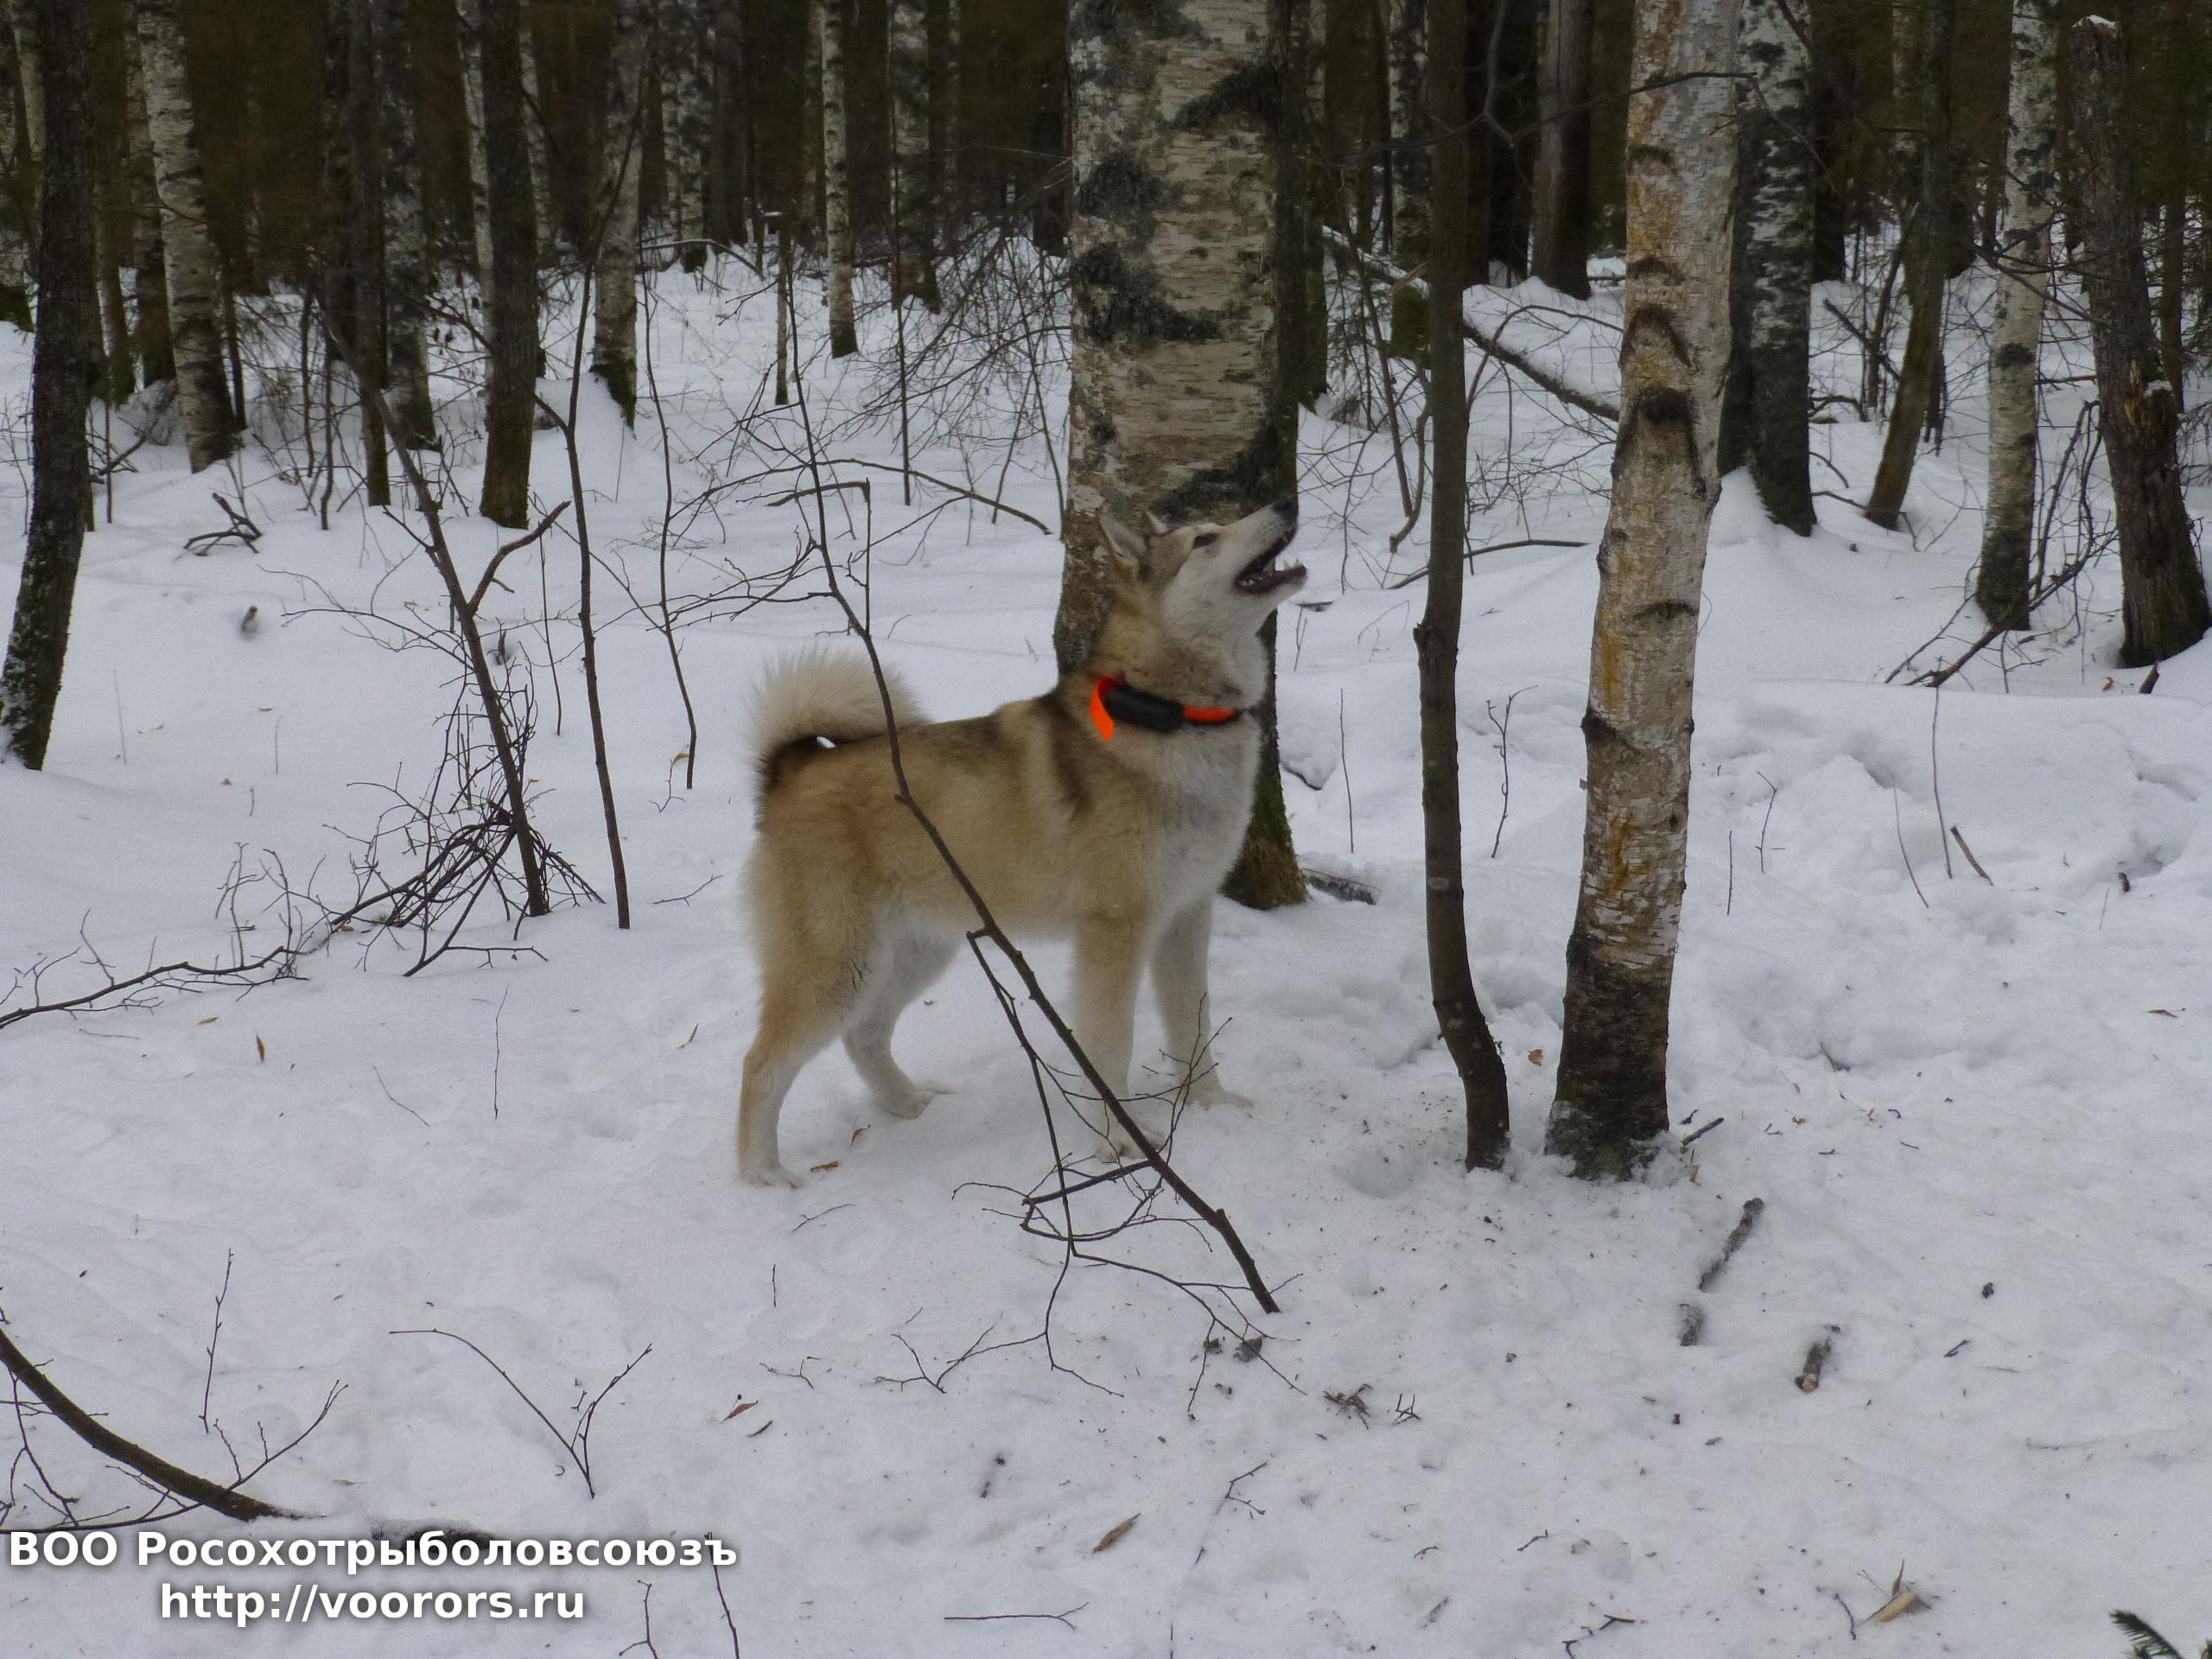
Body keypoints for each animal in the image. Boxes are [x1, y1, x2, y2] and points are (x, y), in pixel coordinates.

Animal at [735, 497, 1307, 1187]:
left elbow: (1192, 1028)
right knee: (762, 1064)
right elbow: (1110, 1047)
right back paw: (763, 1175)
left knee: (864, 1036)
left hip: (916, 950)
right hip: (836, 969)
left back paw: (907, 1103)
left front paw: (1212, 1106)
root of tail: (791, 771)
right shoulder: (1116, 932)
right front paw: (1119, 1144)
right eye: (1204, 540)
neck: (1171, 716)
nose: (1284, 504)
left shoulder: (1185, 918)